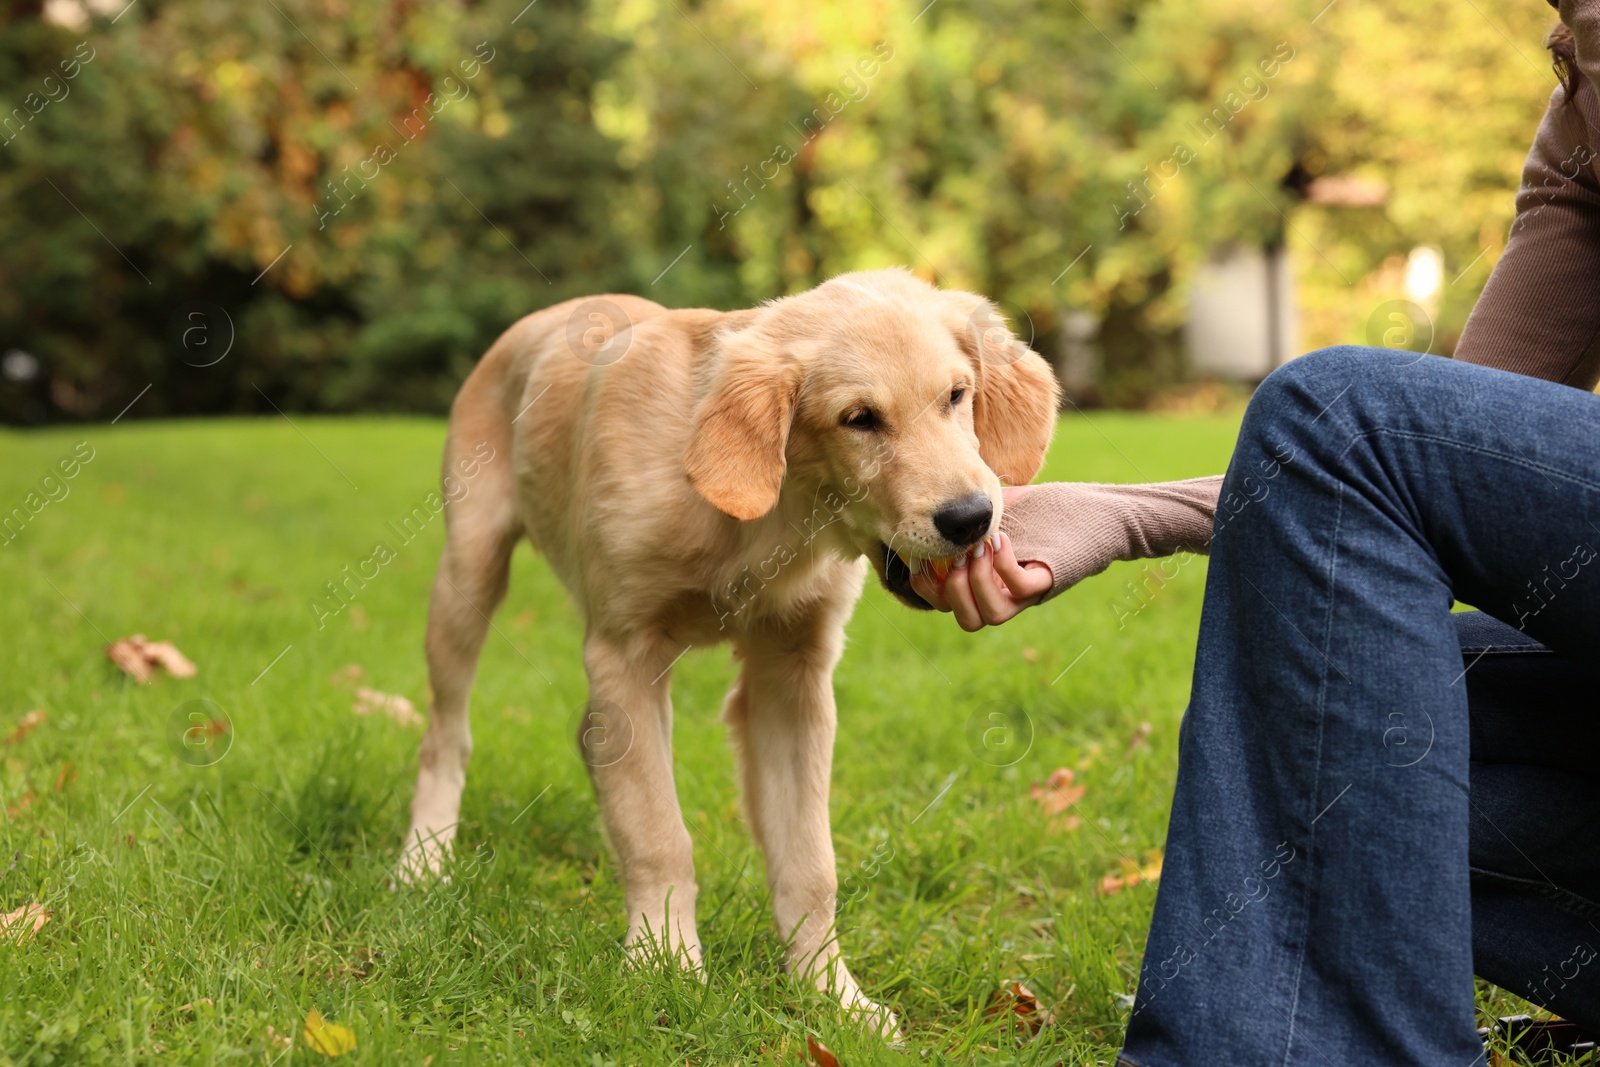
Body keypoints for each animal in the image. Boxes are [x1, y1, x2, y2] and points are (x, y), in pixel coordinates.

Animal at [398, 268, 1056, 1036]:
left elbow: (810, 861)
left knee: (586, 739)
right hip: (467, 573)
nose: (970, 518)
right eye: (859, 418)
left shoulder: (792, 673)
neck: (774, 515)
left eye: (957, 395)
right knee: (446, 734)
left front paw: (832, 995)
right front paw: (665, 966)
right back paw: (423, 860)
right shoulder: (625, 653)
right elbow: (658, 831)